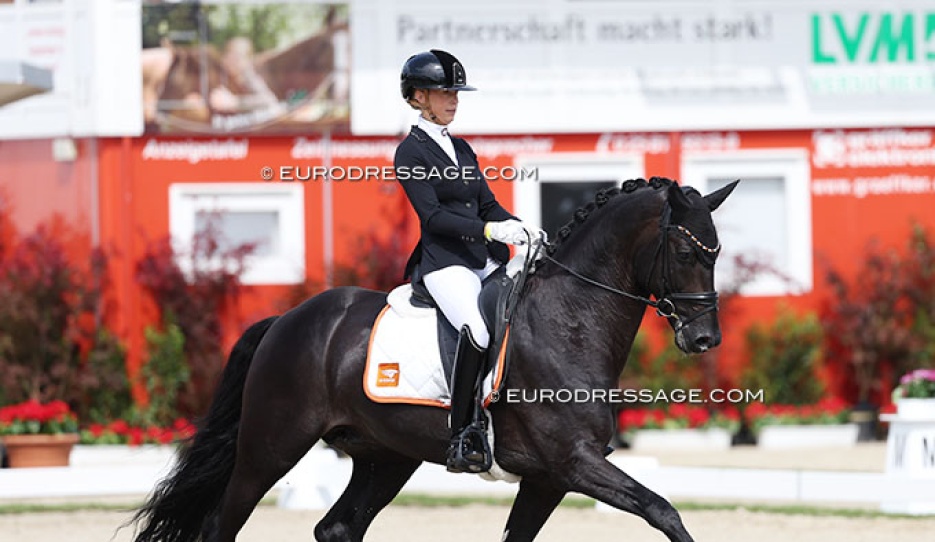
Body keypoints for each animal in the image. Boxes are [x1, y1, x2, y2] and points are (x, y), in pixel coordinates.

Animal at [131, 176, 737, 542]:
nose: (704, 339)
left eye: (716, 253)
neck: (569, 320)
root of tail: (286, 319)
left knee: (337, 528)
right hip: (271, 447)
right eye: (685, 251)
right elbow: (663, 510)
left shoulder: (550, 479)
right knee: (222, 524)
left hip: (385, 456)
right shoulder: (574, 462)